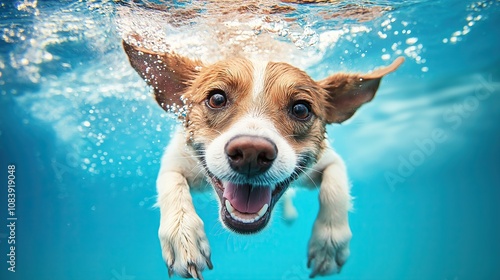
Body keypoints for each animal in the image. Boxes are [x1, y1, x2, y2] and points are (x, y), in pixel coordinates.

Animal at [123, 38, 404, 278]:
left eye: (301, 109)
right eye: (217, 98)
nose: (251, 152)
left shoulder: (328, 161)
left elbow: (335, 187)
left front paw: (329, 242)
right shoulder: (178, 160)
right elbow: (171, 184)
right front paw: (183, 237)